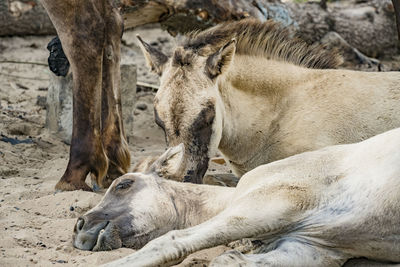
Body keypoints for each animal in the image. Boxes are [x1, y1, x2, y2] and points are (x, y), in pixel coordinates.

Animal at [73, 129, 400, 266]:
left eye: (123, 184)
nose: (80, 225)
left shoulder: (274, 203)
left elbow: (172, 242)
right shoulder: (313, 248)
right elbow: (229, 260)